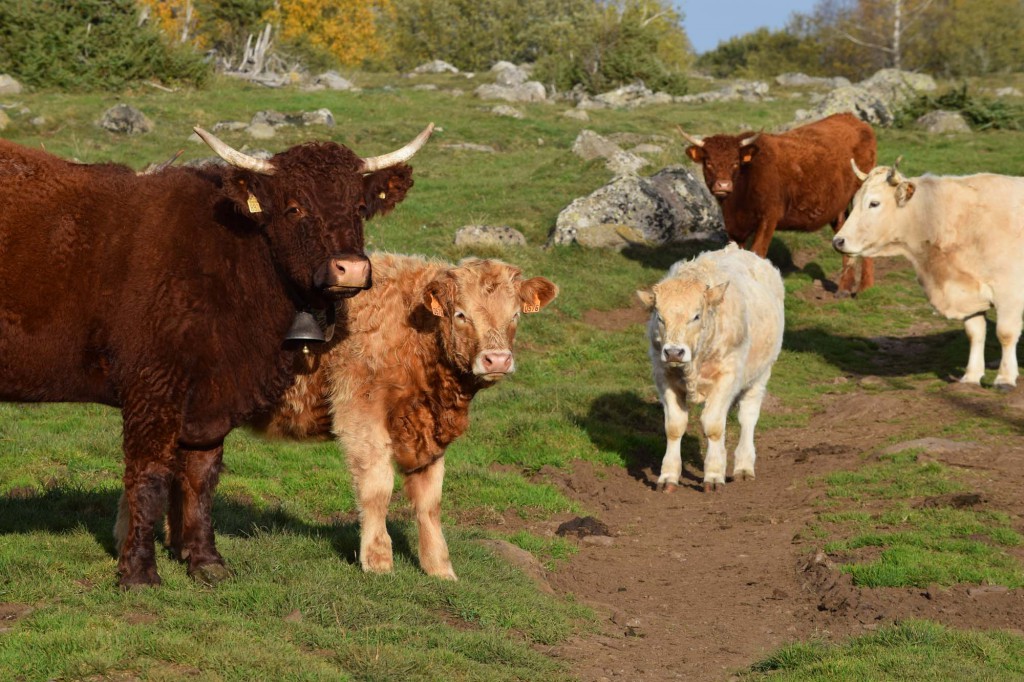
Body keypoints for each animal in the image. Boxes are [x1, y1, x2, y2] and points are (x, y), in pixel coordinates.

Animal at [0, 124, 432, 585]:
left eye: (360, 207)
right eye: (294, 208)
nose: (350, 268)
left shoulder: (213, 398)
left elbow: (201, 475)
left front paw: (206, 561)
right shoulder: (153, 387)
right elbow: (149, 474)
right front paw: (139, 572)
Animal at [256, 254, 561, 577]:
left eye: (515, 315)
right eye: (461, 314)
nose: (498, 360)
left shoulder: (428, 433)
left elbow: (430, 501)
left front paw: (440, 569)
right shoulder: (359, 414)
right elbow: (377, 489)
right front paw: (378, 562)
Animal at [638, 242, 782, 489]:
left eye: (696, 316)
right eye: (660, 317)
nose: (674, 352)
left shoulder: (728, 376)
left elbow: (713, 426)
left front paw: (714, 474)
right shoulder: (663, 376)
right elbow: (675, 426)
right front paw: (668, 475)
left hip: (761, 374)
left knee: (748, 416)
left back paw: (744, 466)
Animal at [684, 111, 876, 292]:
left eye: (735, 162)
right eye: (708, 162)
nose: (723, 185)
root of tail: (851, 118)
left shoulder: (769, 218)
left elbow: (757, 254)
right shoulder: (734, 228)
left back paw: (866, 287)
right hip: (840, 208)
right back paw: (844, 288)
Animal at [835, 155, 1024, 387]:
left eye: (874, 203)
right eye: (854, 202)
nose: (838, 241)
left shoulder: (1010, 292)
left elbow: (1005, 333)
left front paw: (1004, 378)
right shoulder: (967, 292)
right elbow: (975, 333)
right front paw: (971, 377)